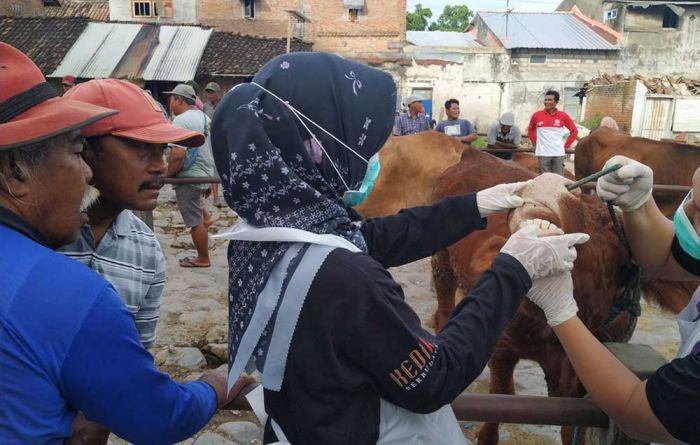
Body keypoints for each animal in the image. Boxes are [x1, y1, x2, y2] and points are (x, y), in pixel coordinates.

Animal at [432, 147, 696, 444]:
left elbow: (571, 428)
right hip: (441, 260)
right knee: (443, 303)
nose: (552, 186)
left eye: (617, 242)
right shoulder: (502, 346)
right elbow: (500, 400)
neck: (548, 334)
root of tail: (475, 153)